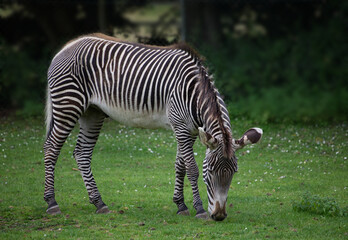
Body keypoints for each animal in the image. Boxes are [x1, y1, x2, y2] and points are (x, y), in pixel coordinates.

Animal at [44, 33, 260, 221]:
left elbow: (180, 165)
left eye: (234, 173)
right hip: (68, 105)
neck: (193, 93)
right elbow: (191, 168)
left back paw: (99, 203)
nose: (219, 216)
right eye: (211, 172)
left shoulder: (188, 130)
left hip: (92, 112)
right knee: (51, 149)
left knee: (82, 153)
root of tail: (67, 46)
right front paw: (198, 209)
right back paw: (52, 203)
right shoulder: (181, 127)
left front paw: (180, 205)